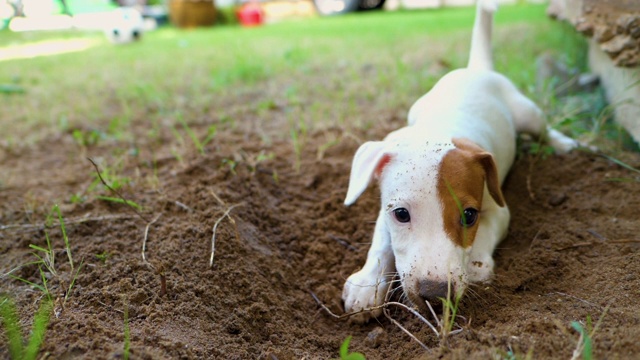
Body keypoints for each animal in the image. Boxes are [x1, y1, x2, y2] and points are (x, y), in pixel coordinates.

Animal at [340, 0, 580, 322]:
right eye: (401, 214)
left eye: (469, 216)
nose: (434, 295)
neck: (438, 132)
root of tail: (475, 69)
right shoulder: (384, 209)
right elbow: (382, 242)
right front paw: (367, 283)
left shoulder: (498, 209)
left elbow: (486, 234)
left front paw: (476, 265)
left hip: (528, 114)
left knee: (543, 129)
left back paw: (564, 143)